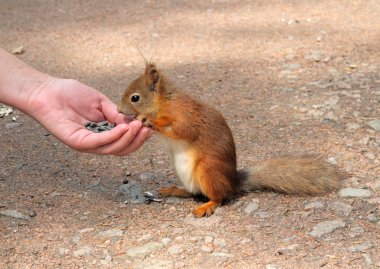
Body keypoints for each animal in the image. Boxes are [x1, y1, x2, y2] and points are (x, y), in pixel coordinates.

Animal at [117, 63, 342, 218]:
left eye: (135, 98)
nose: (118, 111)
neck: (165, 102)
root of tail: (233, 182)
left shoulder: (184, 113)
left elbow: (184, 129)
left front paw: (149, 120)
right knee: (193, 192)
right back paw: (174, 190)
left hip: (208, 171)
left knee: (218, 197)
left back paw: (206, 206)